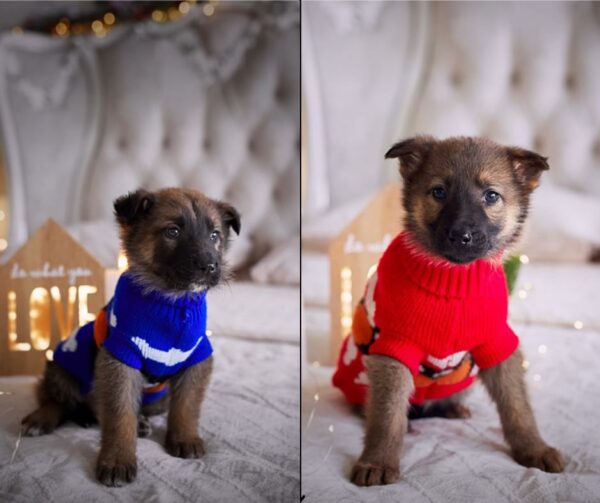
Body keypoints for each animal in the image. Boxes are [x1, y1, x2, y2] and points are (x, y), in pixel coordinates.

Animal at [21, 187, 241, 486]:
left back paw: (140, 423)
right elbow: (119, 415)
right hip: (60, 366)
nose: (210, 266)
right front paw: (117, 460)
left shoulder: (198, 356)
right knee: (55, 398)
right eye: (172, 231)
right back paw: (41, 418)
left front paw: (184, 438)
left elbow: (186, 406)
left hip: (159, 399)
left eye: (215, 235)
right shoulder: (120, 358)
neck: (171, 303)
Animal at [338, 138, 568, 488]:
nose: (462, 235)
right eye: (439, 192)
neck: (453, 281)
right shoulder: (394, 349)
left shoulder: (497, 344)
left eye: (491, 195)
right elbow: (387, 416)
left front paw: (534, 448)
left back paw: (453, 409)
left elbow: (517, 407)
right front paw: (377, 461)